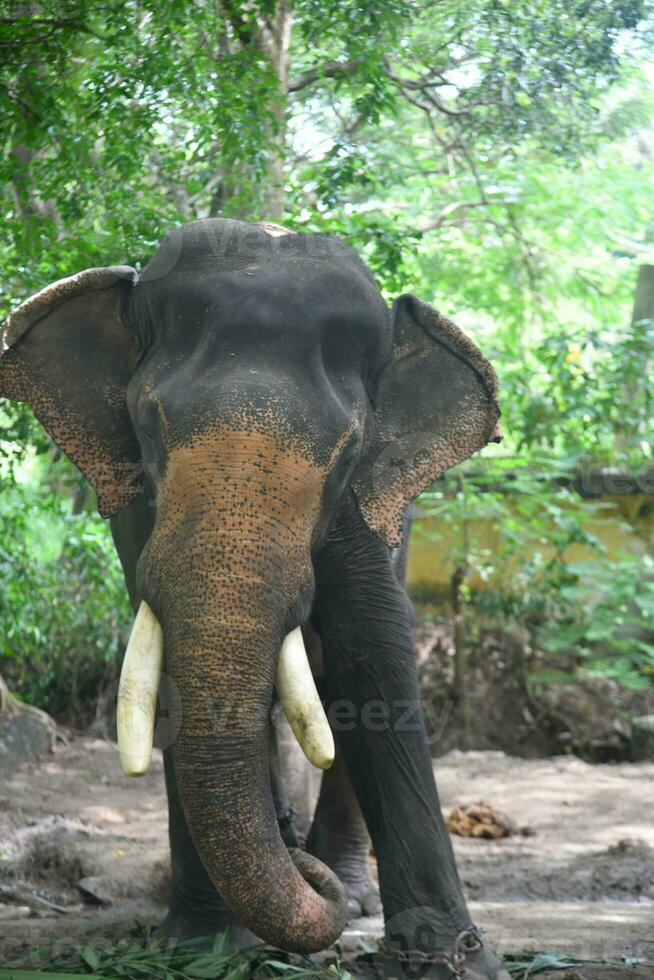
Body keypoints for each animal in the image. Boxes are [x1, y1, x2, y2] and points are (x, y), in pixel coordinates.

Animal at [0, 222, 508, 980]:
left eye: (349, 452)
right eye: (148, 425)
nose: (293, 856)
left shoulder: (369, 511)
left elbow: (375, 655)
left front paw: (454, 962)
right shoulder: (137, 510)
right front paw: (199, 947)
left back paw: (344, 889)